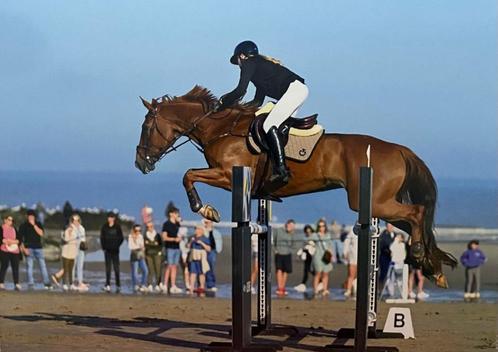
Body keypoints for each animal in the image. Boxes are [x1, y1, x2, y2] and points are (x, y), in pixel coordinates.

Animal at [135, 86, 456, 288]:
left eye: (147, 127)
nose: (140, 163)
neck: (220, 129)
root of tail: (400, 149)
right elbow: (190, 175)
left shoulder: (227, 175)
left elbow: (188, 175)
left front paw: (206, 210)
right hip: (380, 205)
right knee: (415, 221)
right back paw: (434, 267)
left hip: (372, 202)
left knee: (417, 213)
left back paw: (420, 255)